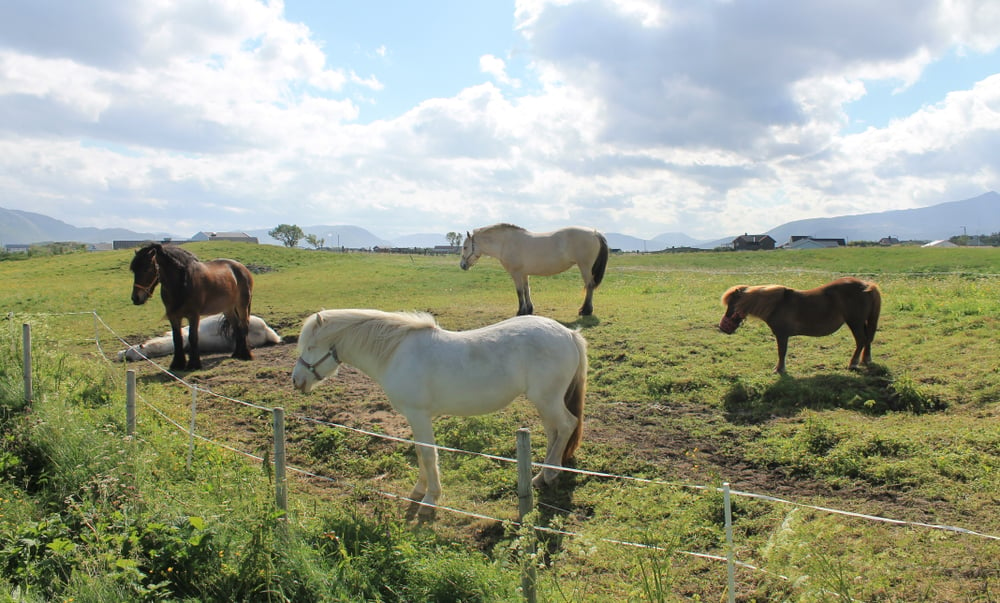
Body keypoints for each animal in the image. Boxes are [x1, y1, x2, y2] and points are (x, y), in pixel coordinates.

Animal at [290, 310, 584, 516]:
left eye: (310, 347)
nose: (296, 381)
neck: (396, 353)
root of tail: (569, 334)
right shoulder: (414, 417)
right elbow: (421, 452)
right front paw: (419, 489)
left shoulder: (419, 415)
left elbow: (429, 454)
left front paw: (431, 498)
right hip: (544, 402)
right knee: (553, 432)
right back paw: (541, 476)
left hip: (547, 400)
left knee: (567, 426)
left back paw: (550, 474)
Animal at [460, 222, 608, 316]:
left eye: (465, 247)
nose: (462, 265)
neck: (506, 243)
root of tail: (595, 233)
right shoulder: (524, 273)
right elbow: (527, 290)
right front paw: (529, 310)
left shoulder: (516, 273)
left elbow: (519, 291)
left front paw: (520, 311)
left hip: (585, 267)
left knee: (589, 285)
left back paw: (586, 311)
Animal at [720, 278, 884, 372]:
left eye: (732, 305)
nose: (722, 328)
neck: (776, 305)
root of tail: (867, 285)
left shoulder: (782, 335)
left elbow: (782, 351)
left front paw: (779, 369)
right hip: (862, 322)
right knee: (868, 339)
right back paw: (865, 360)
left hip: (855, 322)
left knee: (861, 340)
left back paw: (853, 364)